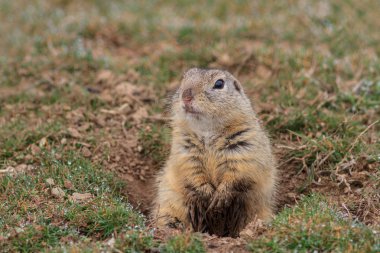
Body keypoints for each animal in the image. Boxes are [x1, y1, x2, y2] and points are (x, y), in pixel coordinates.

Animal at [153, 67, 278, 237]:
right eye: (183, 78)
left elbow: (238, 173)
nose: (186, 96)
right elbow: (191, 171)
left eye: (219, 83)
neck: (208, 131)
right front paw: (207, 194)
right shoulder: (184, 150)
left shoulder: (245, 146)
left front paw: (220, 197)